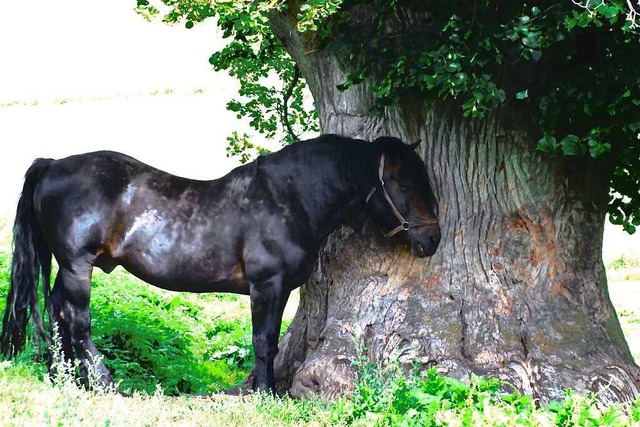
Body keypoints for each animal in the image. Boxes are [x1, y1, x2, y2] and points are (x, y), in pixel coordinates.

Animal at [0, 135, 440, 394]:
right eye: (402, 183)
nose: (432, 239)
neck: (287, 200)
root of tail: (52, 164)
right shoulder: (267, 286)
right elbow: (264, 341)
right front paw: (264, 393)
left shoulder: (279, 289)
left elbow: (268, 341)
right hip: (77, 265)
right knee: (77, 321)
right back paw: (106, 383)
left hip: (69, 267)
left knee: (58, 313)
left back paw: (66, 379)